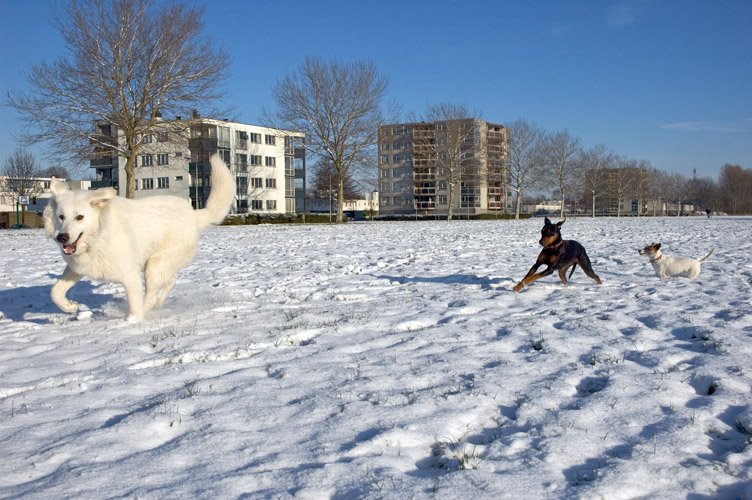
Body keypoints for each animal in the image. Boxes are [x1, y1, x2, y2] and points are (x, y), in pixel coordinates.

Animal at [43, 154, 235, 322]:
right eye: (61, 216)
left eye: (80, 217)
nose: (62, 237)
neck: (99, 236)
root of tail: (193, 215)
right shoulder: (77, 268)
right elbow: (55, 292)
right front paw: (70, 307)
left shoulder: (130, 275)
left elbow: (136, 306)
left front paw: (132, 323)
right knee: (170, 280)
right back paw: (160, 303)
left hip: (155, 267)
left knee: (151, 295)